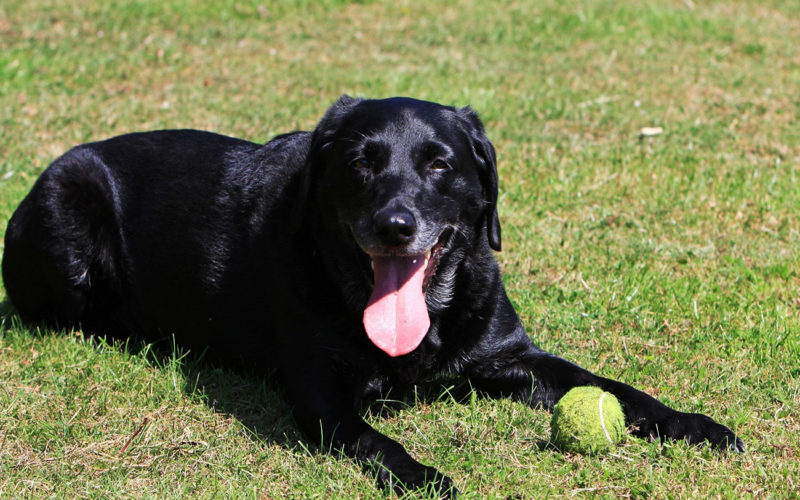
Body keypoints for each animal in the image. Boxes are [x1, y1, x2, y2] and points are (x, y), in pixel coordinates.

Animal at [3, 95, 748, 494]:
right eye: (361, 163)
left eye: (440, 164)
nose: (395, 224)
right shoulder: (323, 398)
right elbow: (375, 442)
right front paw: (424, 476)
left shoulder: (512, 356)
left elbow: (618, 389)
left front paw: (694, 425)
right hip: (69, 222)